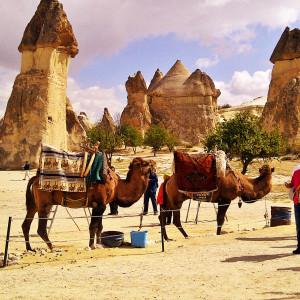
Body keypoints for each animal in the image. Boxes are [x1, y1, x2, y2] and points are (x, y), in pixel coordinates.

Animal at [22, 157, 154, 251]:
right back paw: (52, 247)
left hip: (36, 204)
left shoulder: (101, 204)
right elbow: (93, 226)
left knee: (26, 224)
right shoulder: (99, 204)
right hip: (44, 204)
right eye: (142, 163)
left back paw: (30, 248)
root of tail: (35, 179)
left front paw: (99, 243)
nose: (152, 163)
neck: (116, 185)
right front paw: (92, 246)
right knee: (41, 228)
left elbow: (100, 227)